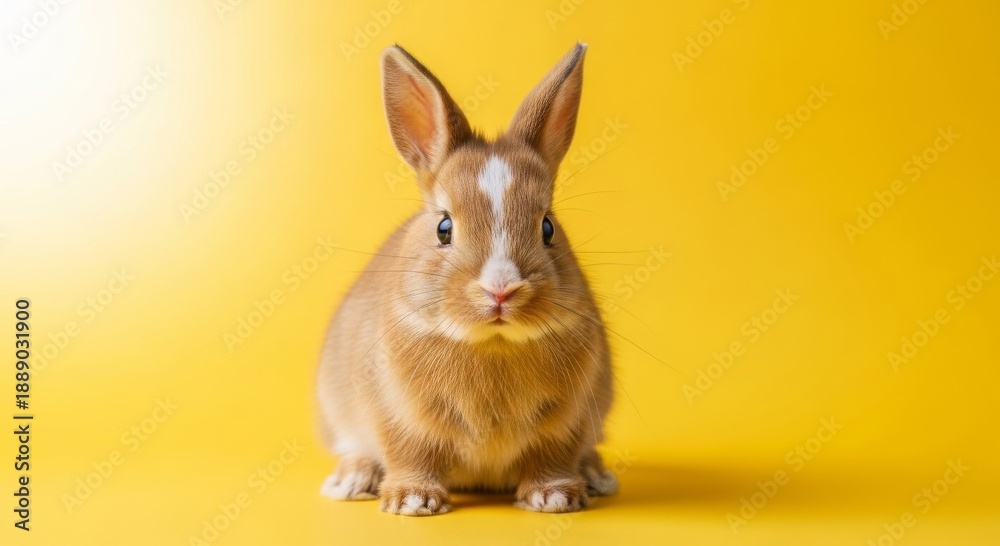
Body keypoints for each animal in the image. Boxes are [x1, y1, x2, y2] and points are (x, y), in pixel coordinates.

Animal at [316, 43, 618, 516]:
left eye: (547, 227)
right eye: (444, 228)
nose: (500, 290)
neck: (491, 343)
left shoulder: (566, 421)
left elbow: (553, 456)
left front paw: (554, 498)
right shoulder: (398, 416)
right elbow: (409, 453)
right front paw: (413, 502)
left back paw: (596, 476)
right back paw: (350, 481)